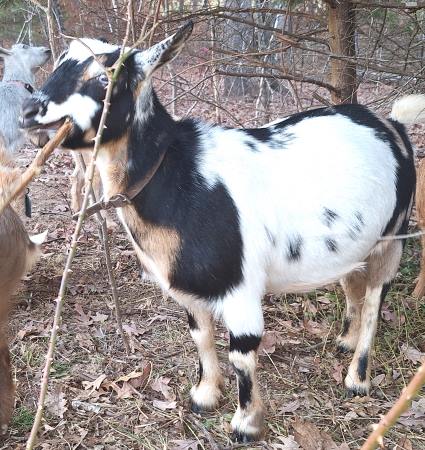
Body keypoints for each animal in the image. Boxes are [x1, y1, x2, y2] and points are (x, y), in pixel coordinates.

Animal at [21, 22, 420, 442]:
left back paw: (357, 378)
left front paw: (246, 423)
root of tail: (392, 124)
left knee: (375, 298)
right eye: (58, 63)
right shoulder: (191, 288)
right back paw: (345, 341)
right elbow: (200, 335)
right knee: (352, 284)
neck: (179, 175)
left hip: (392, 236)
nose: (30, 112)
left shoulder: (240, 287)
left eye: (104, 76)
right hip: (356, 244)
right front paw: (205, 395)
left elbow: (241, 353)